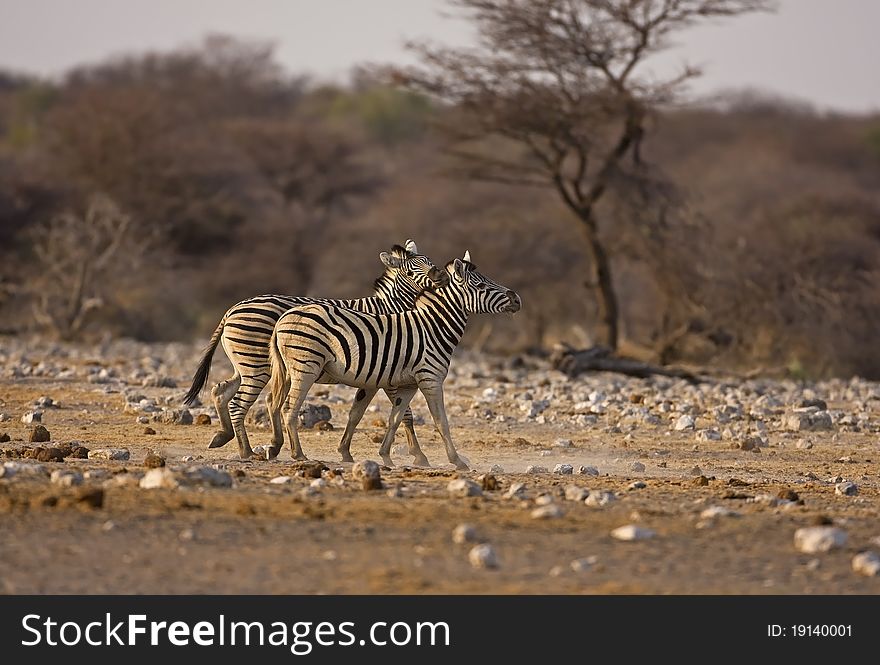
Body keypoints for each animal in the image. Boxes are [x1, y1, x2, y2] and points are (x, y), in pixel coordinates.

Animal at [184, 240, 446, 462]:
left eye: (429, 261)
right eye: (411, 272)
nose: (440, 275)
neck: (391, 310)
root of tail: (232, 309)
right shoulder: (387, 370)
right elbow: (406, 414)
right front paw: (419, 456)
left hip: (248, 365)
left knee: (221, 391)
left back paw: (227, 437)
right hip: (257, 365)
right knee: (239, 402)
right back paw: (247, 452)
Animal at [264, 252, 520, 470]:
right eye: (481, 286)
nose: (516, 298)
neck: (433, 328)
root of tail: (284, 317)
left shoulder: (407, 385)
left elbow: (395, 418)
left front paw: (386, 456)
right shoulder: (430, 379)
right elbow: (440, 421)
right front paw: (457, 461)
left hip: (288, 370)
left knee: (274, 402)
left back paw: (278, 449)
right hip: (305, 367)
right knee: (289, 407)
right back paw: (298, 454)